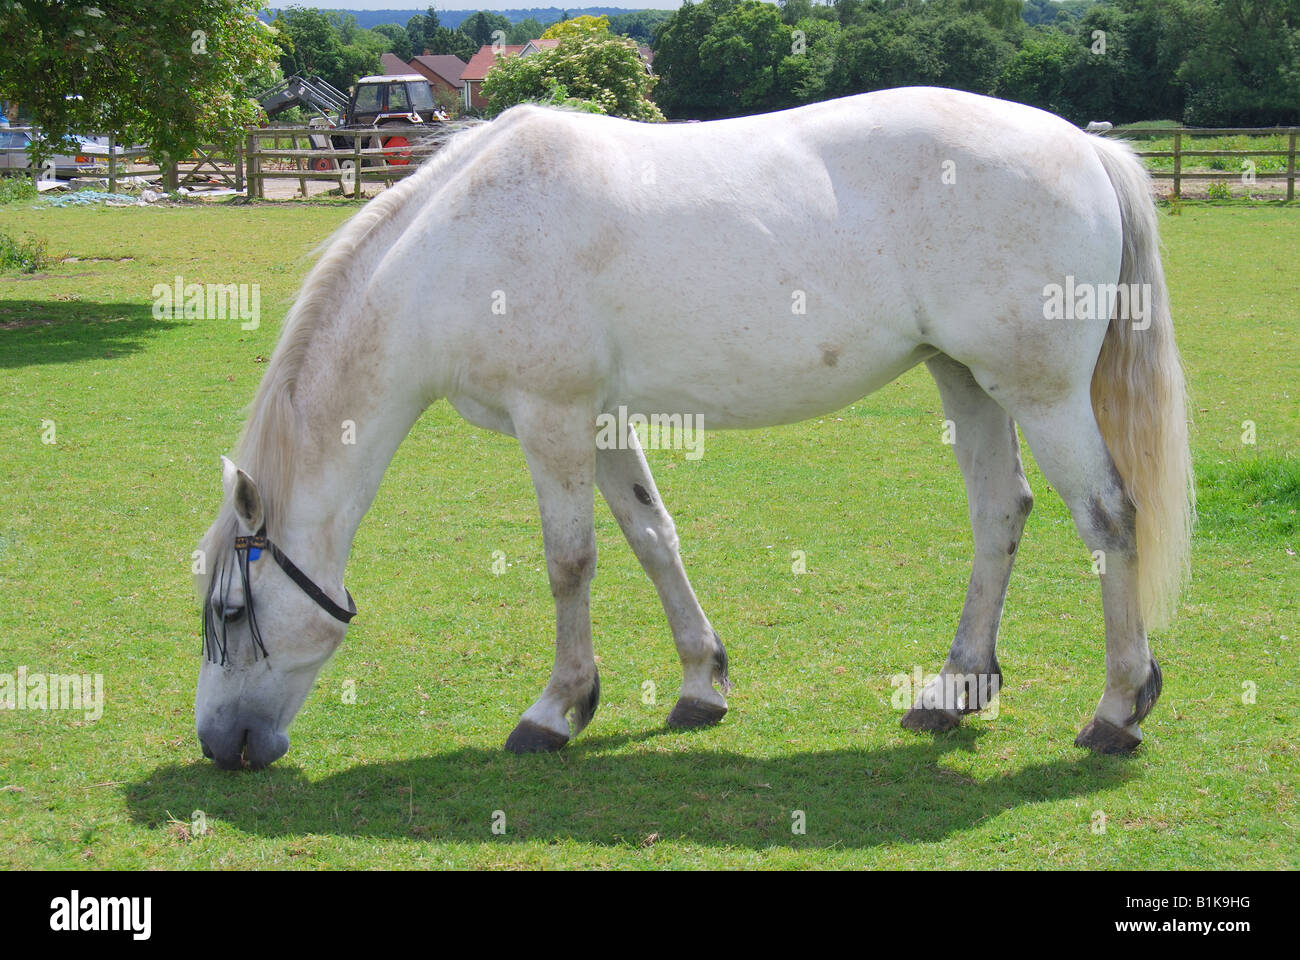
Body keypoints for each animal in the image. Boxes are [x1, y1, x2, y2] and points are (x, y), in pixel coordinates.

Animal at [188, 83, 1190, 770]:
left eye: (234, 612)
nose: (220, 742)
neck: (457, 247)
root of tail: (1084, 148)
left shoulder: (551, 420)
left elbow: (570, 563)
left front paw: (556, 710)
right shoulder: (599, 422)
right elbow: (651, 537)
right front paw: (701, 684)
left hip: (1040, 392)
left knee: (1109, 518)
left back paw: (1116, 709)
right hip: (967, 380)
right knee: (999, 514)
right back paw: (954, 691)